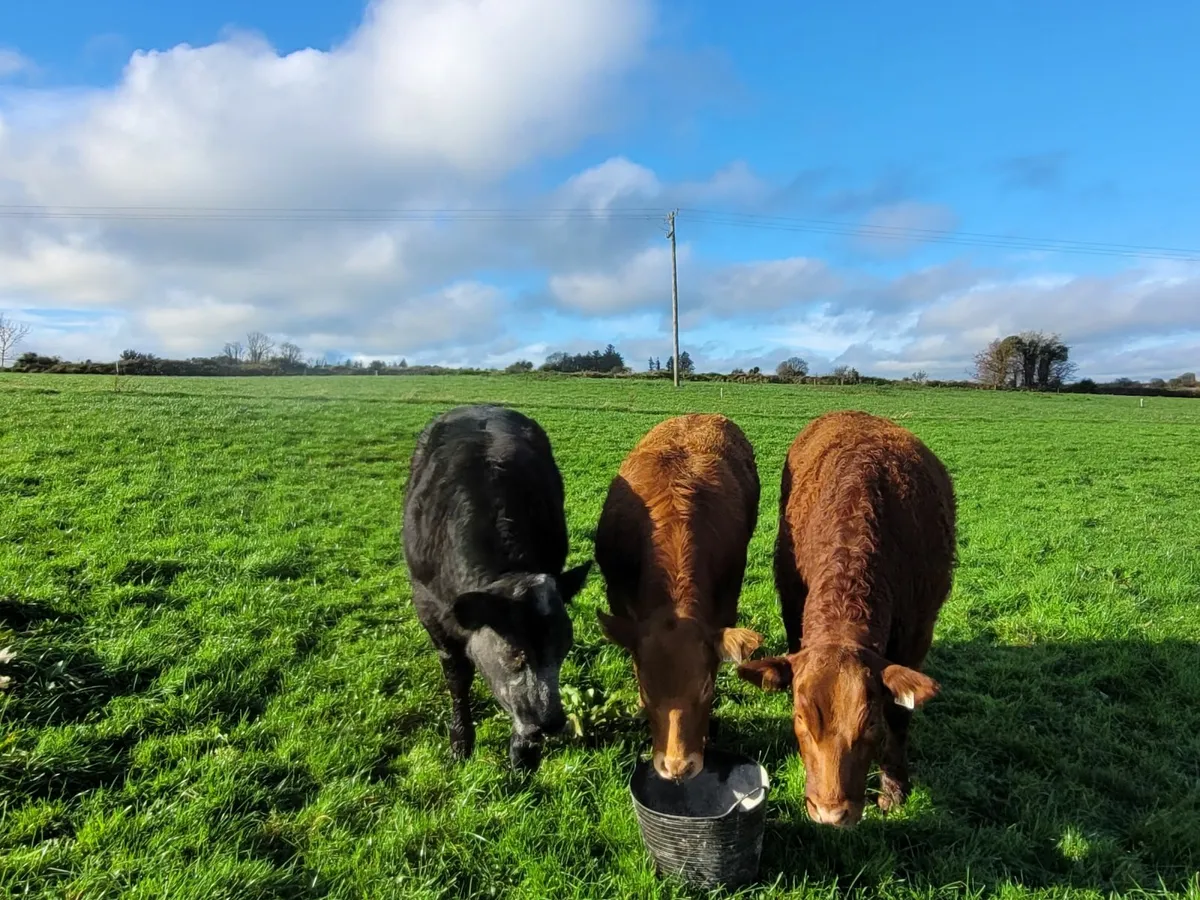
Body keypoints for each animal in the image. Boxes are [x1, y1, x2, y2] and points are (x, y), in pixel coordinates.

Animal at [402, 404, 592, 771]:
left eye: (564, 648)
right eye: (515, 653)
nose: (549, 723)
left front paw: (522, 754)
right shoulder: (429, 610)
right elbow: (457, 677)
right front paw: (461, 742)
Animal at [737, 410, 956, 828]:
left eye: (869, 723)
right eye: (800, 717)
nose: (829, 812)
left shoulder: (917, 636)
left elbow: (899, 714)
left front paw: (895, 789)